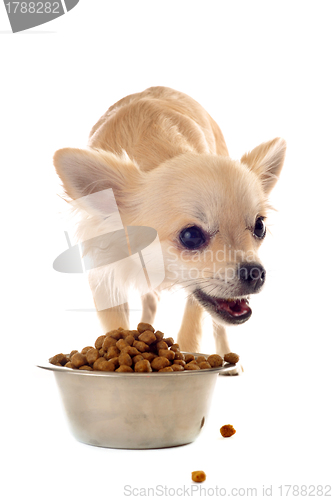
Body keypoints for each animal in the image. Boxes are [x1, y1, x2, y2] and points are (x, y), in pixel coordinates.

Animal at [53, 88, 284, 358]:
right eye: (190, 236)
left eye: (260, 227)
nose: (255, 271)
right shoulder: (103, 276)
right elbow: (115, 326)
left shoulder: (198, 293)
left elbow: (191, 331)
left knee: (218, 327)